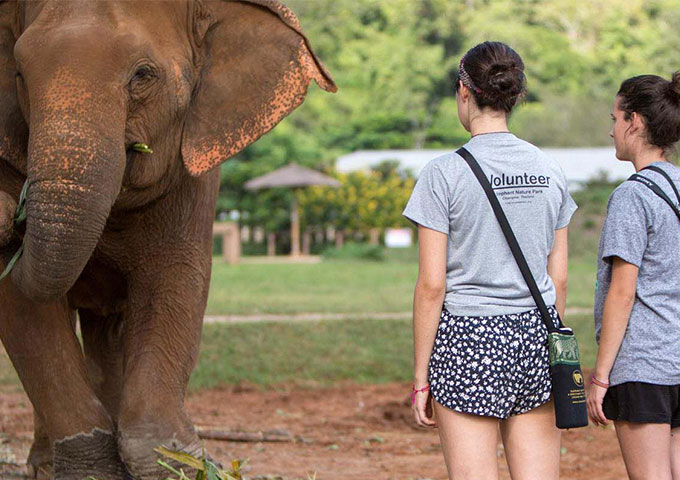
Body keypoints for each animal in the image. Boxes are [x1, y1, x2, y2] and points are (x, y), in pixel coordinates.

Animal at [0, 0, 336, 479]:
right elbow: (21, 308)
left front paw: (178, 461)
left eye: (143, 74)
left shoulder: (195, 169)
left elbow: (176, 278)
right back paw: (44, 466)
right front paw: (95, 468)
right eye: (20, 74)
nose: (10, 214)